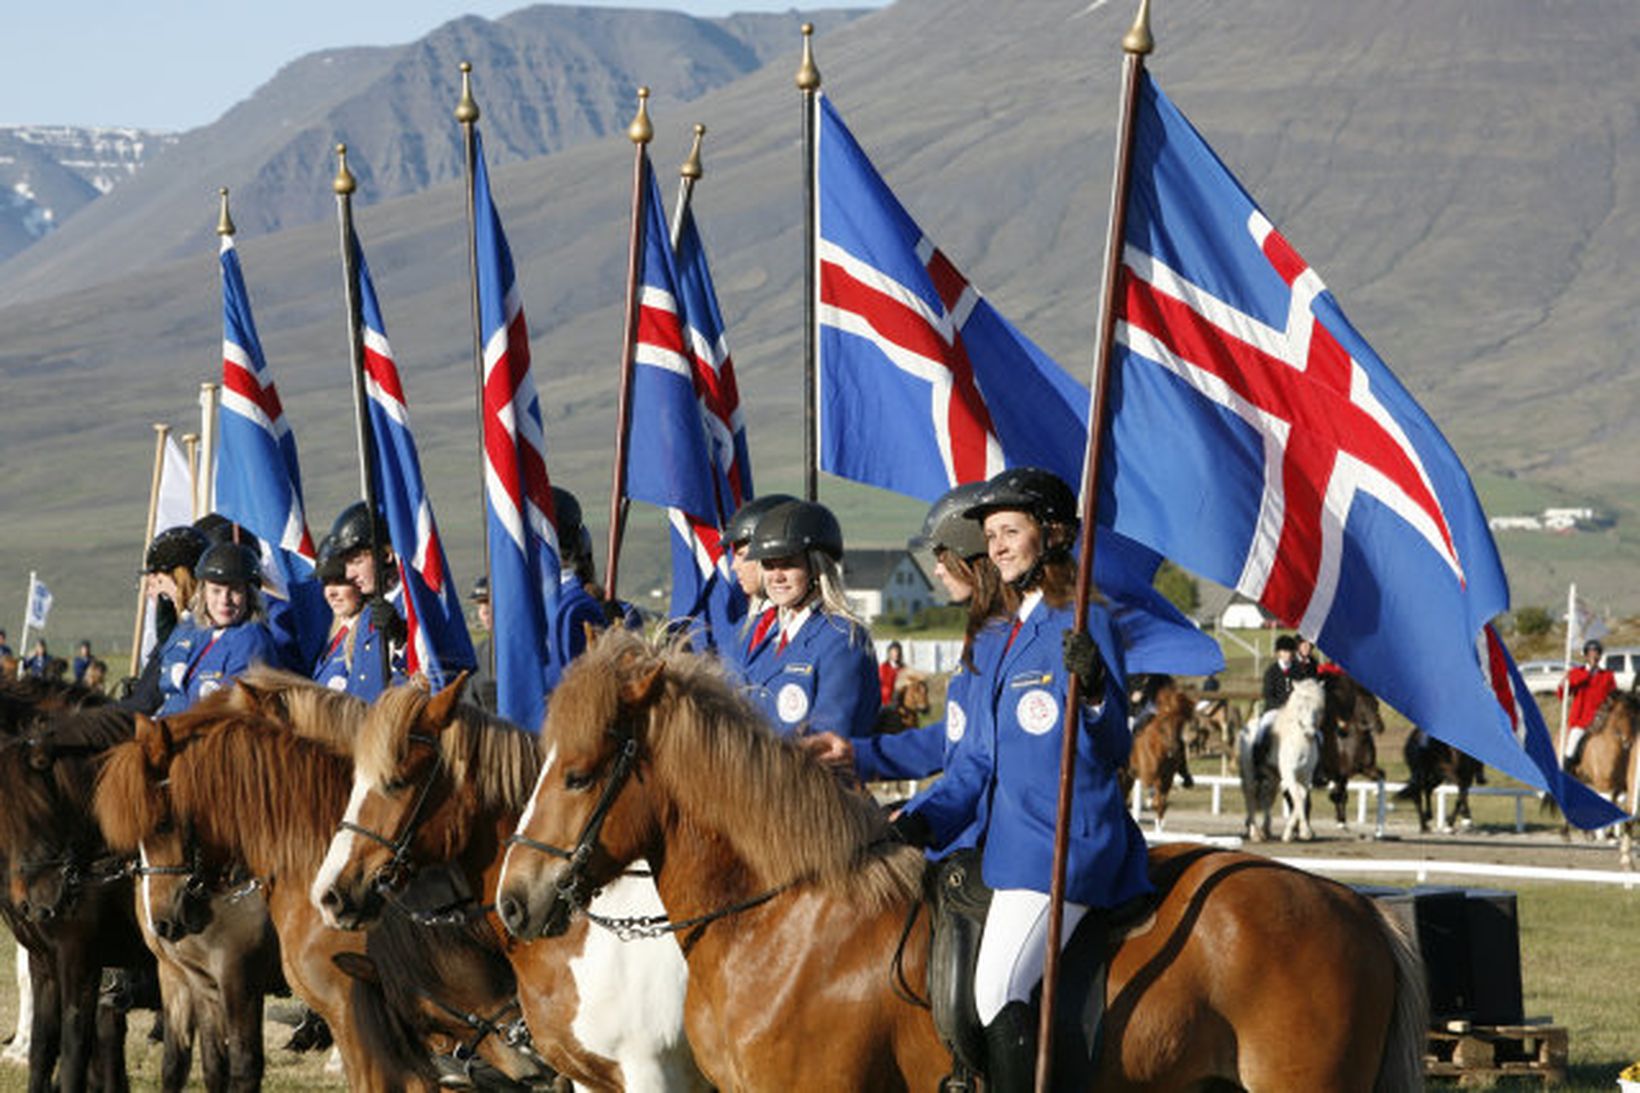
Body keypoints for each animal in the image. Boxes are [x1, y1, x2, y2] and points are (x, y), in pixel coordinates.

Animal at [1121, 682, 1200, 827]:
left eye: (1180, 723)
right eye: (1164, 722)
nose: (1173, 750)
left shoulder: (1168, 777)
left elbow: (1162, 804)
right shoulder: (1149, 774)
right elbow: (1155, 793)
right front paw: (1150, 802)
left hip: (1128, 776)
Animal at [1233, 676, 1325, 836]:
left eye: (1318, 708)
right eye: (1300, 707)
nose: (1309, 733)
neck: (1301, 740)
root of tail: (1247, 726)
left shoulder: (1306, 775)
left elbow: (1301, 797)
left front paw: (1295, 831)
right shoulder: (1289, 773)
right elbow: (1297, 796)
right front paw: (1303, 831)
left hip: (1272, 775)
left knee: (1268, 796)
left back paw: (1265, 829)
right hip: (1249, 770)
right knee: (1250, 794)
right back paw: (1255, 832)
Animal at [1312, 672, 1390, 827]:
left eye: (1376, 704)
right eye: (1364, 705)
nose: (1380, 727)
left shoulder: (1365, 769)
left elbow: (1381, 775)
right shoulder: (1338, 774)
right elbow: (1338, 795)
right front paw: (1341, 821)